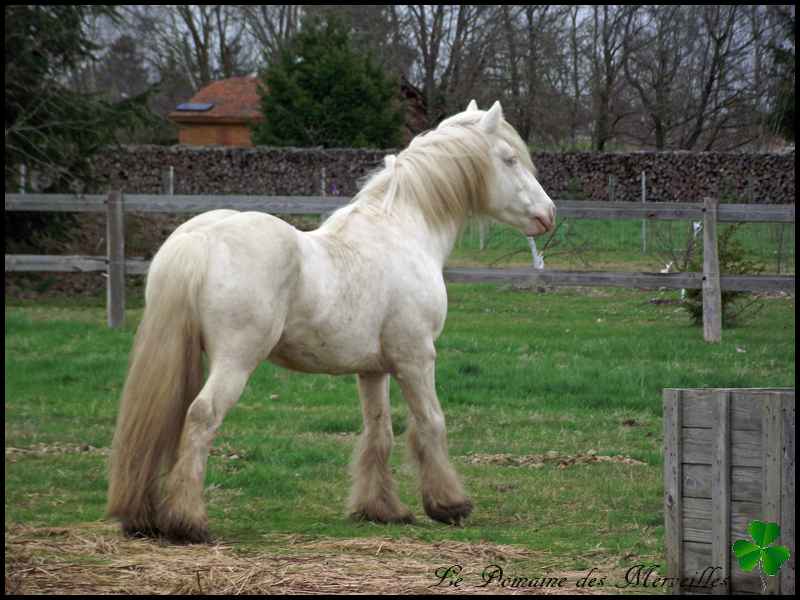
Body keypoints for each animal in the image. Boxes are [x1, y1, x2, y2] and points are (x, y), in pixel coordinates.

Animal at [106, 102, 556, 544]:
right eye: (510, 158)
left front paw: (382, 510)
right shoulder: (416, 358)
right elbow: (431, 423)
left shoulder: (373, 370)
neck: (402, 231)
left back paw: (143, 519)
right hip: (235, 361)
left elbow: (379, 431)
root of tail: (199, 239)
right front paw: (449, 505)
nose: (549, 213)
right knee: (202, 416)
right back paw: (189, 522)